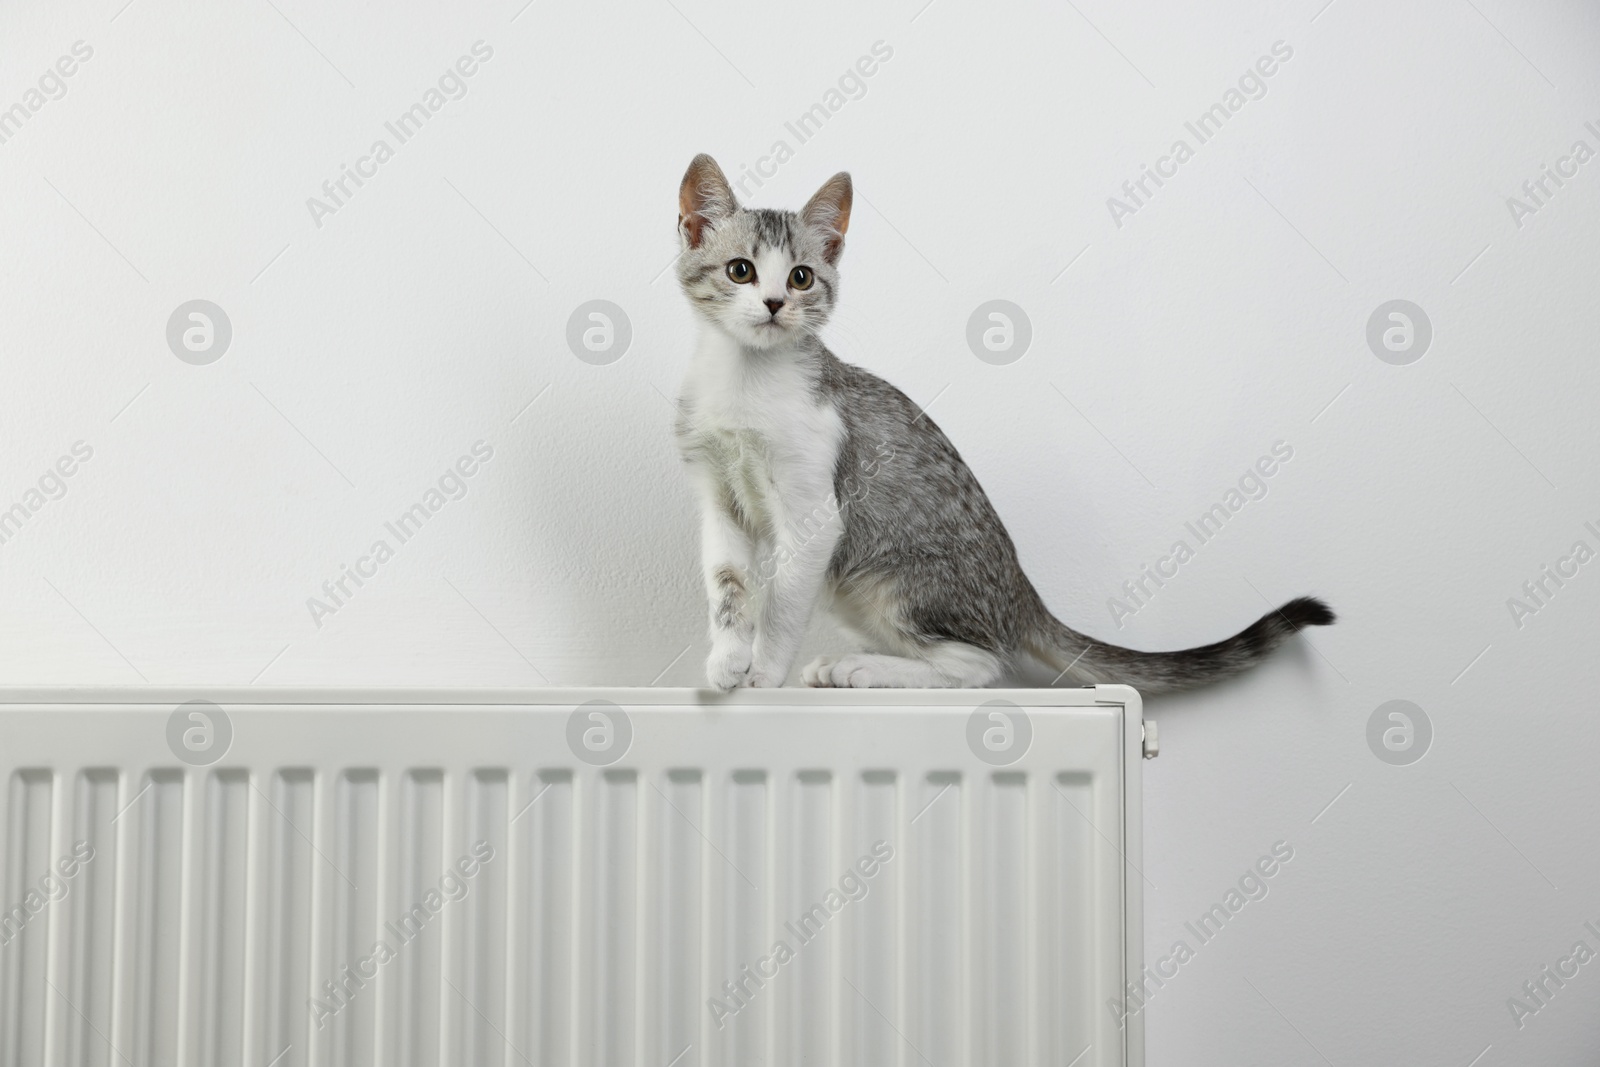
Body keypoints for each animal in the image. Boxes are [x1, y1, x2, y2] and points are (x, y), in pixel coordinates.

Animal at [668, 156, 1331, 694]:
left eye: (801, 277)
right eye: (740, 270)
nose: (774, 304)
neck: (746, 381)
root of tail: (1021, 589)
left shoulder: (814, 513)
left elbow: (781, 603)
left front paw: (763, 675)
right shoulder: (718, 492)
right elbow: (728, 584)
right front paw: (728, 660)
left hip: (893, 578)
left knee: (980, 664)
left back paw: (864, 668)